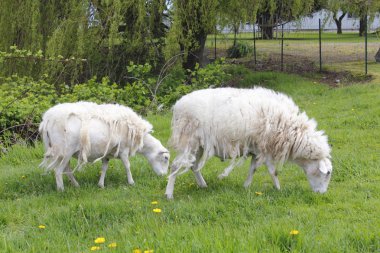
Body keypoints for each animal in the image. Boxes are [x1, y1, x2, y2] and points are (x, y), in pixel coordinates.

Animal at [39, 102, 169, 191]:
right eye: (166, 158)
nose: (163, 176)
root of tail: (47, 119)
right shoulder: (123, 149)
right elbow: (127, 166)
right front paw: (131, 182)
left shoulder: (107, 152)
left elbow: (104, 168)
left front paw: (101, 185)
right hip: (64, 150)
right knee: (58, 171)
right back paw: (61, 190)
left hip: (62, 152)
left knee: (66, 170)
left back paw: (76, 185)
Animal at [166, 87, 332, 200]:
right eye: (328, 173)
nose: (322, 194)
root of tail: (177, 106)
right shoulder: (265, 148)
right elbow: (273, 171)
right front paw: (278, 189)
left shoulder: (257, 149)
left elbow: (253, 169)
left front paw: (246, 187)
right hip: (188, 140)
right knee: (175, 165)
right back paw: (169, 194)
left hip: (199, 145)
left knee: (193, 165)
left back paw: (203, 185)